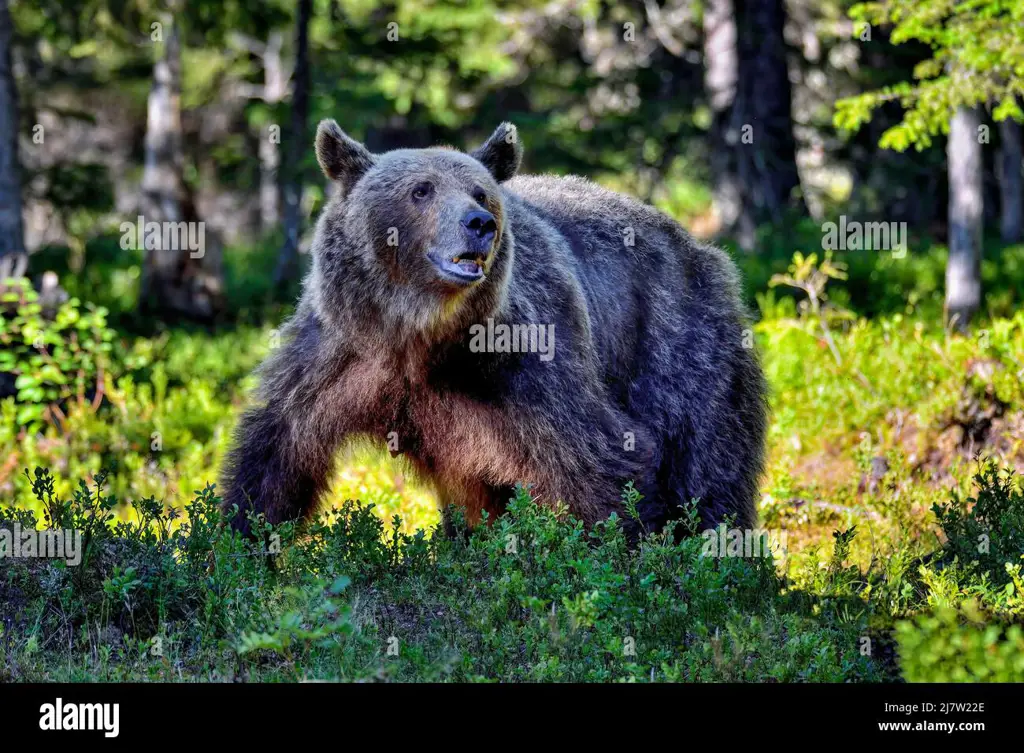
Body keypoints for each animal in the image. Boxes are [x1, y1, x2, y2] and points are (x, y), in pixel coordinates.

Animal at [224, 120, 770, 536]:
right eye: (421, 189)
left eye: (480, 191)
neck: (418, 336)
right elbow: (277, 450)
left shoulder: (527, 363)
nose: (479, 223)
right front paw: (233, 542)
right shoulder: (338, 353)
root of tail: (696, 244)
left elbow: (599, 462)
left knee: (707, 462)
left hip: (678, 341)